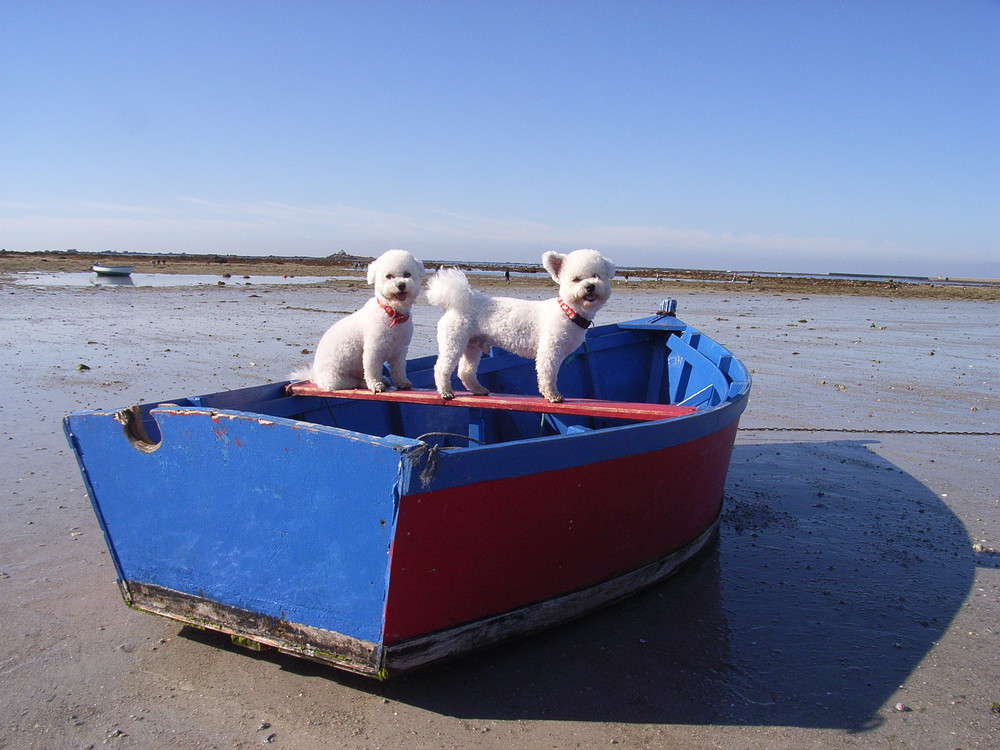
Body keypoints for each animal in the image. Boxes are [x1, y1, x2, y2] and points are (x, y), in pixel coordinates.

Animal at [294, 251, 424, 394]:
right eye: (389, 276)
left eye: (407, 274)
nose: (401, 285)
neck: (393, 313)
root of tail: (315, 377)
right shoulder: (373, 349)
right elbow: (372, 370)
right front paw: (376, 385)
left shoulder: (400, 351)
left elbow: (399, 369)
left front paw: (402, 382)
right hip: (338, 381)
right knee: (356, 381)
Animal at [426, 251, 612, 406]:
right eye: (576, 279)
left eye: (596, 276)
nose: (590, 286)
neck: (568, 311)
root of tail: (459, 303)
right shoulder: (549, 352)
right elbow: (548, 375)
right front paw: (552, 395)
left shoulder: (557, 355)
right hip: (453, 342)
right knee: (441, 368)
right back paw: (445, 391)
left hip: (472, 345)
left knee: (465, 371)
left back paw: (478, 389)